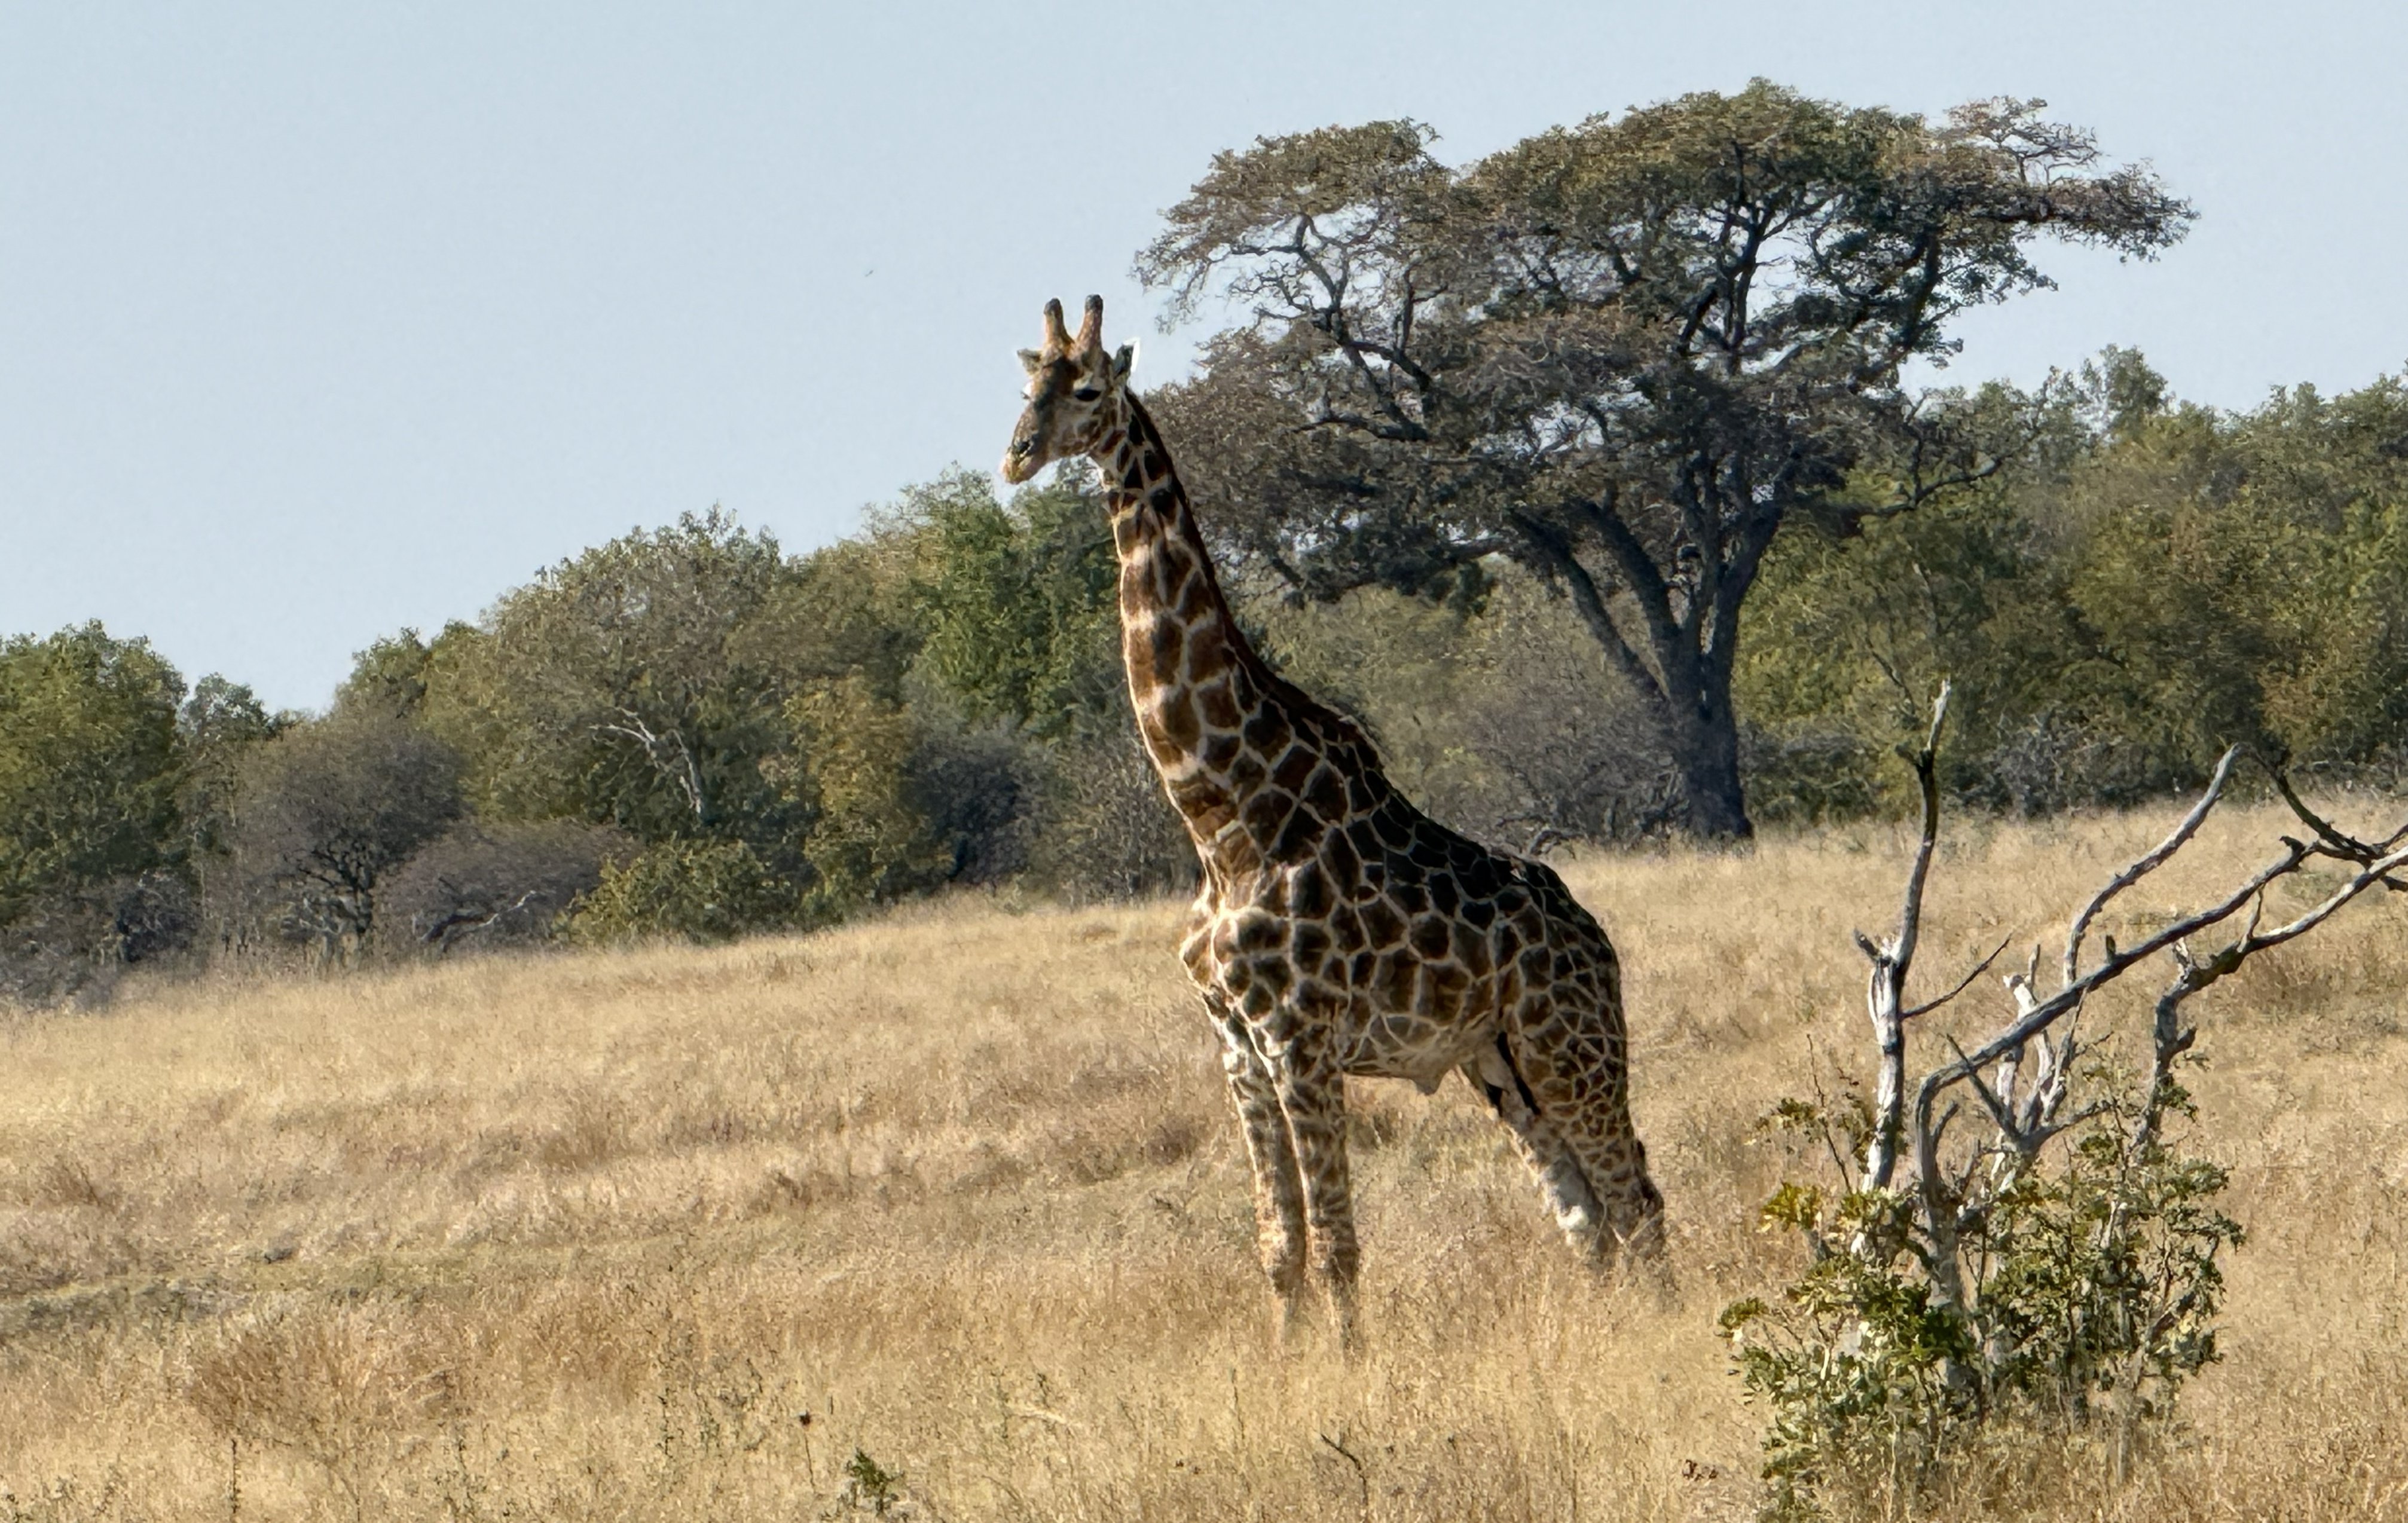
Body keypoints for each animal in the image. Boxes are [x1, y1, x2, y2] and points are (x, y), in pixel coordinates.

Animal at [1002, 296, 1666, 1346]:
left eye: (1091, 390)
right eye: (1025, 384)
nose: (1018, 454)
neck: (1220, 820)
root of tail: (1597, 942)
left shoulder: (1299, 1042)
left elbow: (1339, 1246)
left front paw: (1348, 1366)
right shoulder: (1237, 1048)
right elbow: (1281, 1247)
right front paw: (1288, 1362)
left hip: (1569, 1044)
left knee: (1636, 1194)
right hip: (1498, 1063)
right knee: (1586, 1214)